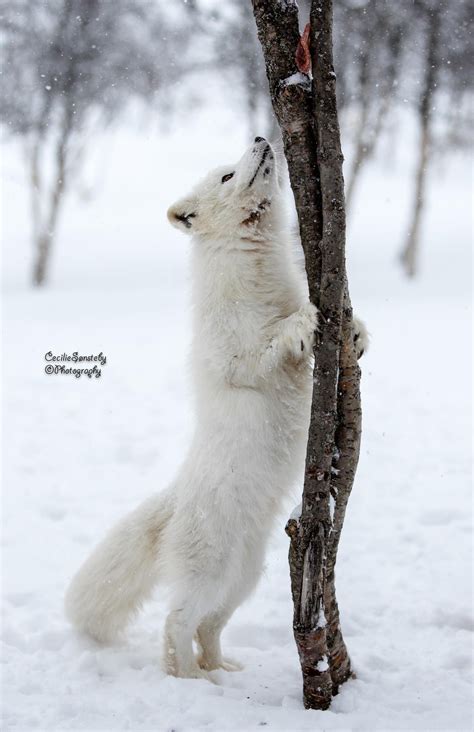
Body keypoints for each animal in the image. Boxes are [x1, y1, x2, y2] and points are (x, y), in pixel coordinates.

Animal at [65, 137, 366, 680]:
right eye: (227, 176)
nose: (262, 139)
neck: (260, 279)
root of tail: (174, 499)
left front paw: (356, 333)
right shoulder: (233, 358)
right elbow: (269, 346)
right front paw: (303, 322)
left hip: (243, 578)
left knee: (208, 626)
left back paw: (222, 670)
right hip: (210, 570)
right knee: (175, 622)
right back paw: (188, 678)